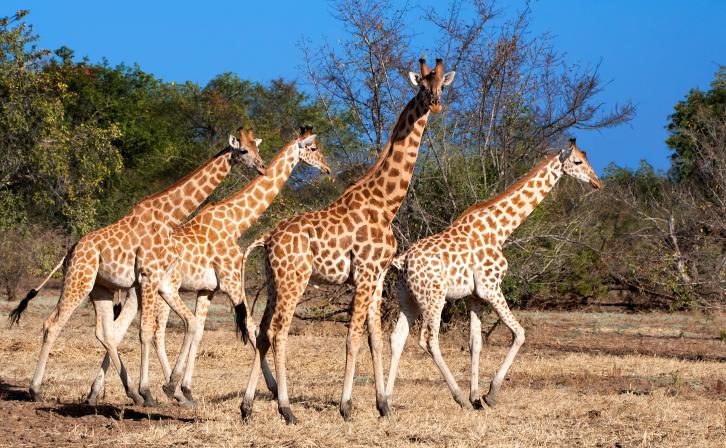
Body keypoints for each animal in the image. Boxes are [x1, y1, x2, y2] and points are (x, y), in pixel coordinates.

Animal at [9, 128, 265, 406]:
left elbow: (160, 328)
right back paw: (36, 390)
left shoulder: (154, 280)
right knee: (52, 324)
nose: (262, 167)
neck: (167, 217)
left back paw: (125, 392)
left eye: (257, 148)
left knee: (105, 333)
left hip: (101, 288)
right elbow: (146, 332)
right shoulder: (149, 276)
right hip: (79, 281)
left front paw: (155, 390)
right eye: (244, 150)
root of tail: (69, 253)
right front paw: (150, 391)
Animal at [85, 126, 330, 405]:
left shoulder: (208, 289)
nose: (326, 168)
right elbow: (252, 329)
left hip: (137, 291)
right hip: (158, 292)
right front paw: (272, 387)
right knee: (152, 332)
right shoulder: (232, 280)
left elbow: (201, 331)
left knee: (117, 330)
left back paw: (98, 392)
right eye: (313, 148)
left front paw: (186, 388)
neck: (236, 221)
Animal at [239, 59, 456, 424]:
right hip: (294, 280)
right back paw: (287, 409)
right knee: (278, 331)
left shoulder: (378, 277)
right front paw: (347, 406)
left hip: (274, 281)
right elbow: (352, 338)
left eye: (442, 84)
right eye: (423, 86)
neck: (385, 204)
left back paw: (247, 406)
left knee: (262, 332)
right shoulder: (365, 274)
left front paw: (383, 405)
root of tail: (267, 238)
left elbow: (376, 339)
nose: (437, 104)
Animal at [384, 139, 601, 410]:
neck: (500, 229)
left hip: (408, 299)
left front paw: (476, 396)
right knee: (428, 340)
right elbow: (519, 333)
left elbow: (475, 343)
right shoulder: (490, 287)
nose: (597, 182)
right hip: (433, 297)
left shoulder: (475, 296)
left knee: (397, 338)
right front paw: (490, 394)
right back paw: (457, 398)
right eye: (578, 161)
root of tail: (401, 261)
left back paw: (385, 403)